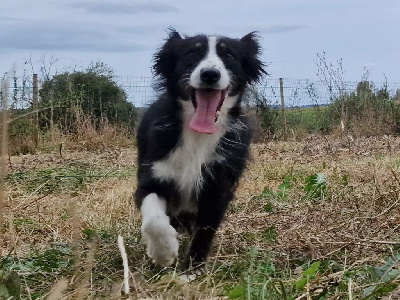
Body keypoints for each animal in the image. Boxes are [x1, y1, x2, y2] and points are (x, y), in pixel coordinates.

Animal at [135, 28, 266, 268]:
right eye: (192, 53)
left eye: (229, 55)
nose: (210, 75)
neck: (197, 136)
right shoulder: (153, 176)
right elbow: (154, 220)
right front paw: (164, 251)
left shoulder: (218, 186)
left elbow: (205, 231)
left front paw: (192, 269)